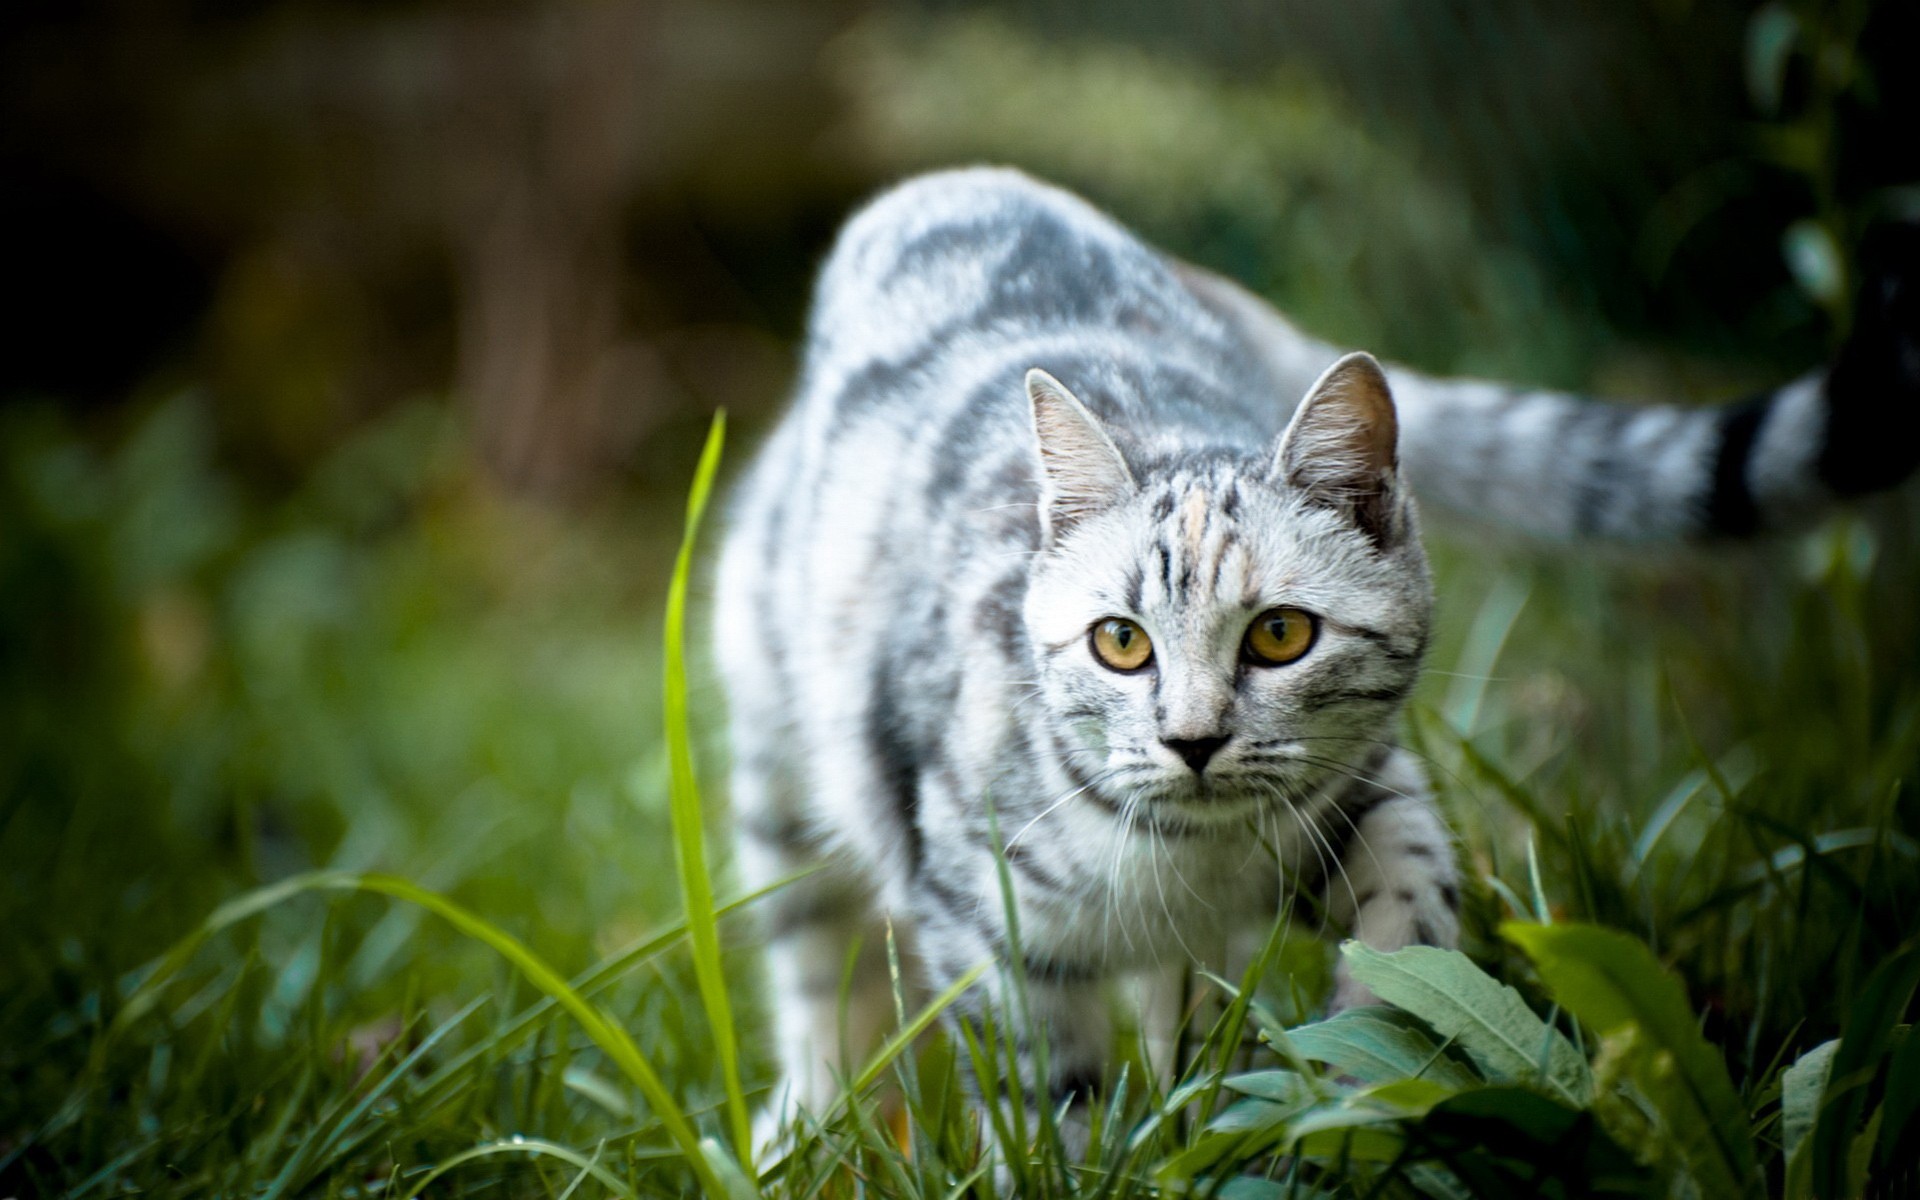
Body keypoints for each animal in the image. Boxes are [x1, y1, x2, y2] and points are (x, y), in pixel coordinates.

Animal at [710, 164, 1920, 1136]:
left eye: (1281, 634)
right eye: (1120, 642)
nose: (1193, 740)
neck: (1184, 862)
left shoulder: (1363, 796)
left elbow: (1417, 906)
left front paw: (1353, 1069)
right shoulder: (978, 916)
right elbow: (1041, 1095)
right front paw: (1090, 1155)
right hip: (777, 769)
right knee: (812, 966)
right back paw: (803, 1123)